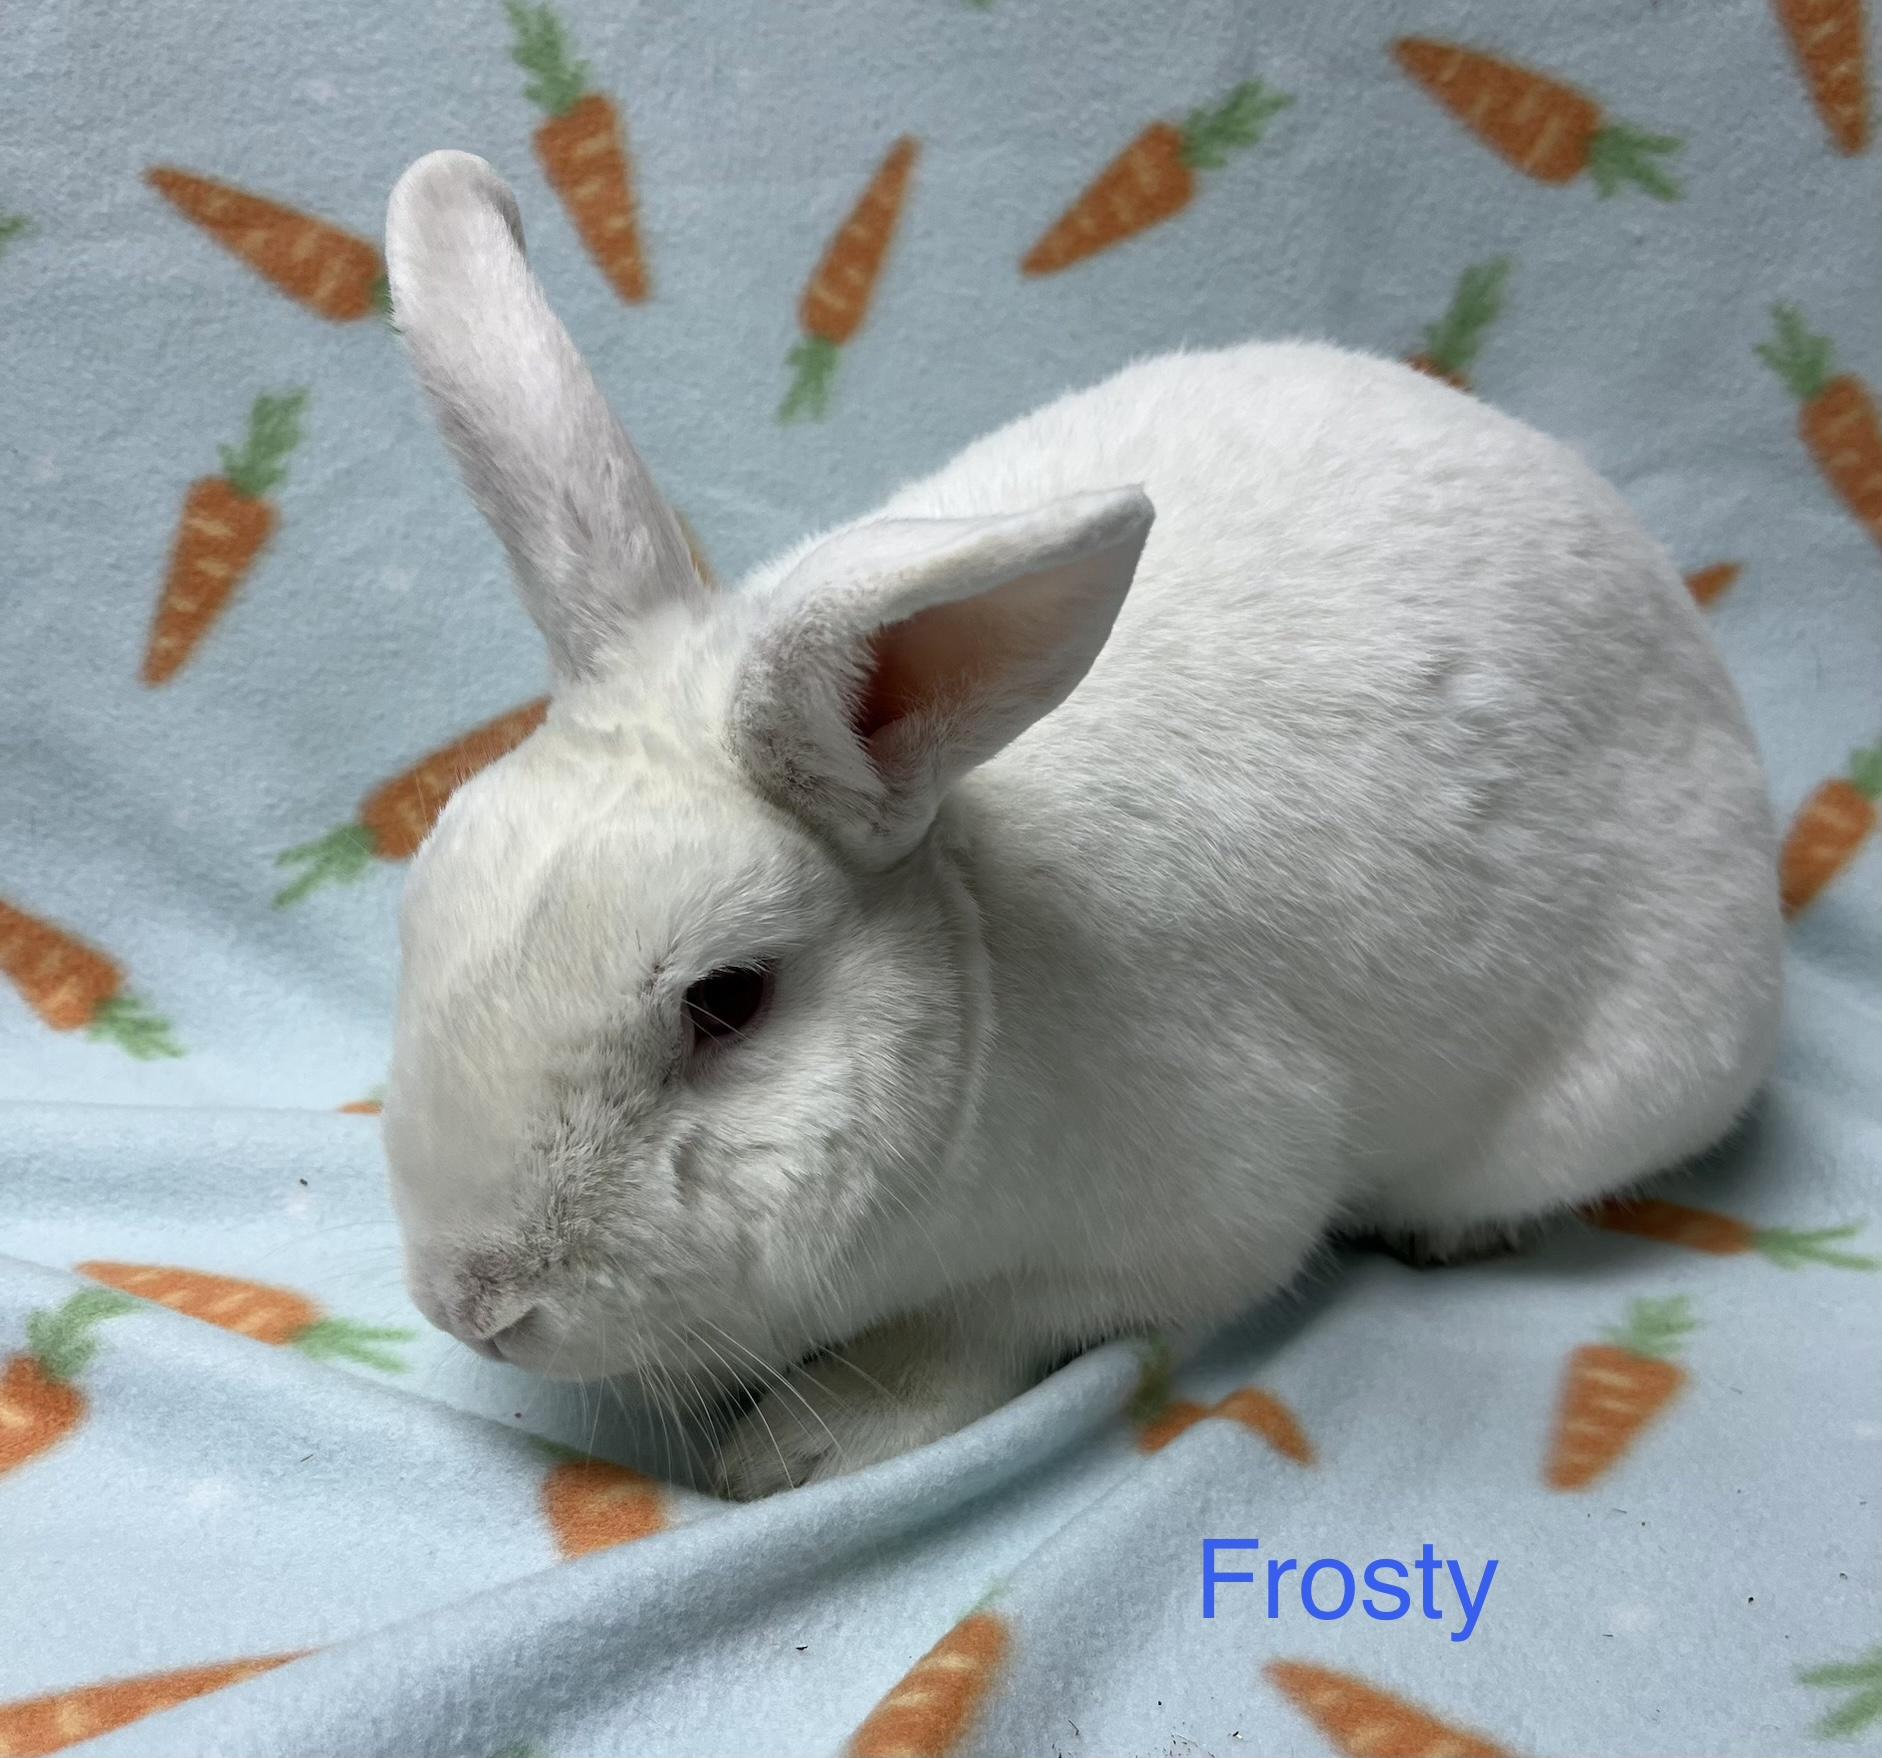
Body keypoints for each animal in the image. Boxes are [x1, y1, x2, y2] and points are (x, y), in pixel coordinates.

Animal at [379, 150, 1782, 1500]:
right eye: (420, 911)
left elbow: (977, 1334)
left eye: (726, 1000)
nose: (474, 1305)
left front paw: (803, 1447)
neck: (984, 952)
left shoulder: (1193, 1220)